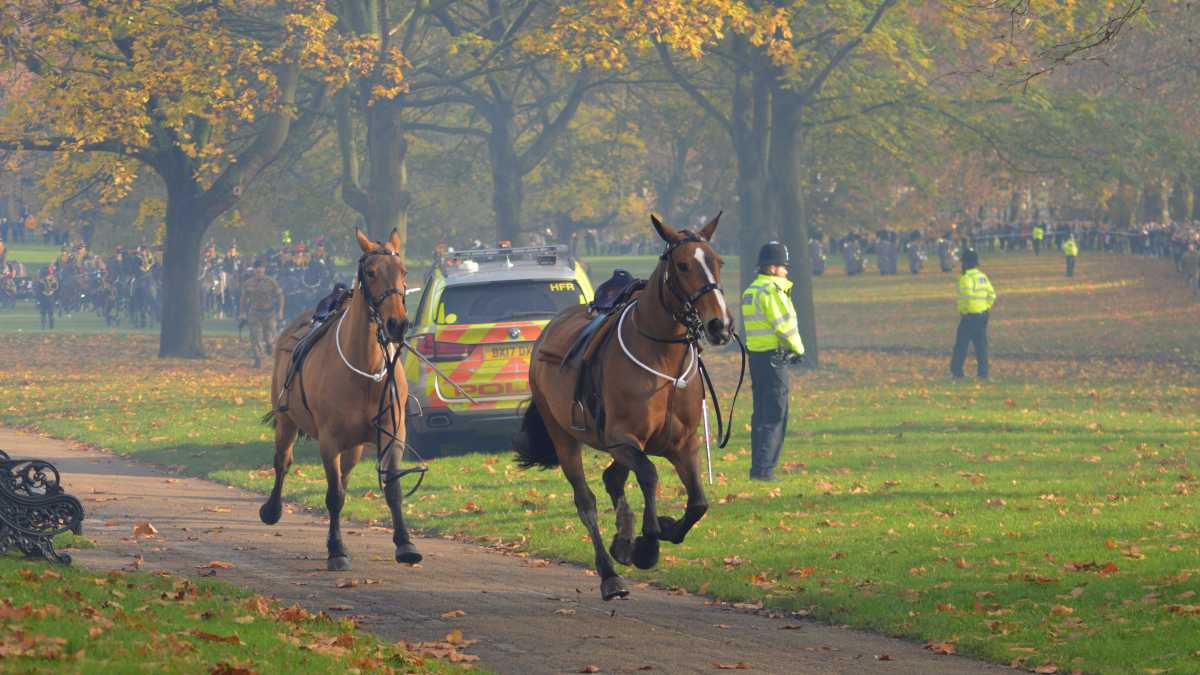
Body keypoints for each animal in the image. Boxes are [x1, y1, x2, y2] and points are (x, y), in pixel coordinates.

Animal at [259, 229, 421, 571]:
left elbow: (392, 487)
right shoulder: (329, 440)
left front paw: (405, 543)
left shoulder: (392, 433)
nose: (397, 324)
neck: (366, 372)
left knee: (345, 476)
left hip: (354, 446)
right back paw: (272, 509)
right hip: (286, 420)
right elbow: (333, 496)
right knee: (283, 461)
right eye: (371, 272)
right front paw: (337, 550)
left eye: (403, 272)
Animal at [515, 213, 733, 600]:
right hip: (564, 435)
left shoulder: (683, 444)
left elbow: (698, 503)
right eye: (682, 264)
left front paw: (661, 529)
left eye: (717, 261)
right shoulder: (622, 438)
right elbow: (648, 474)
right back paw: (609, 572)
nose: (719, 324)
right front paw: (648, 542)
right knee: (585, 500)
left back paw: (623, 540)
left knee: (612, 478)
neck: (663, 362)